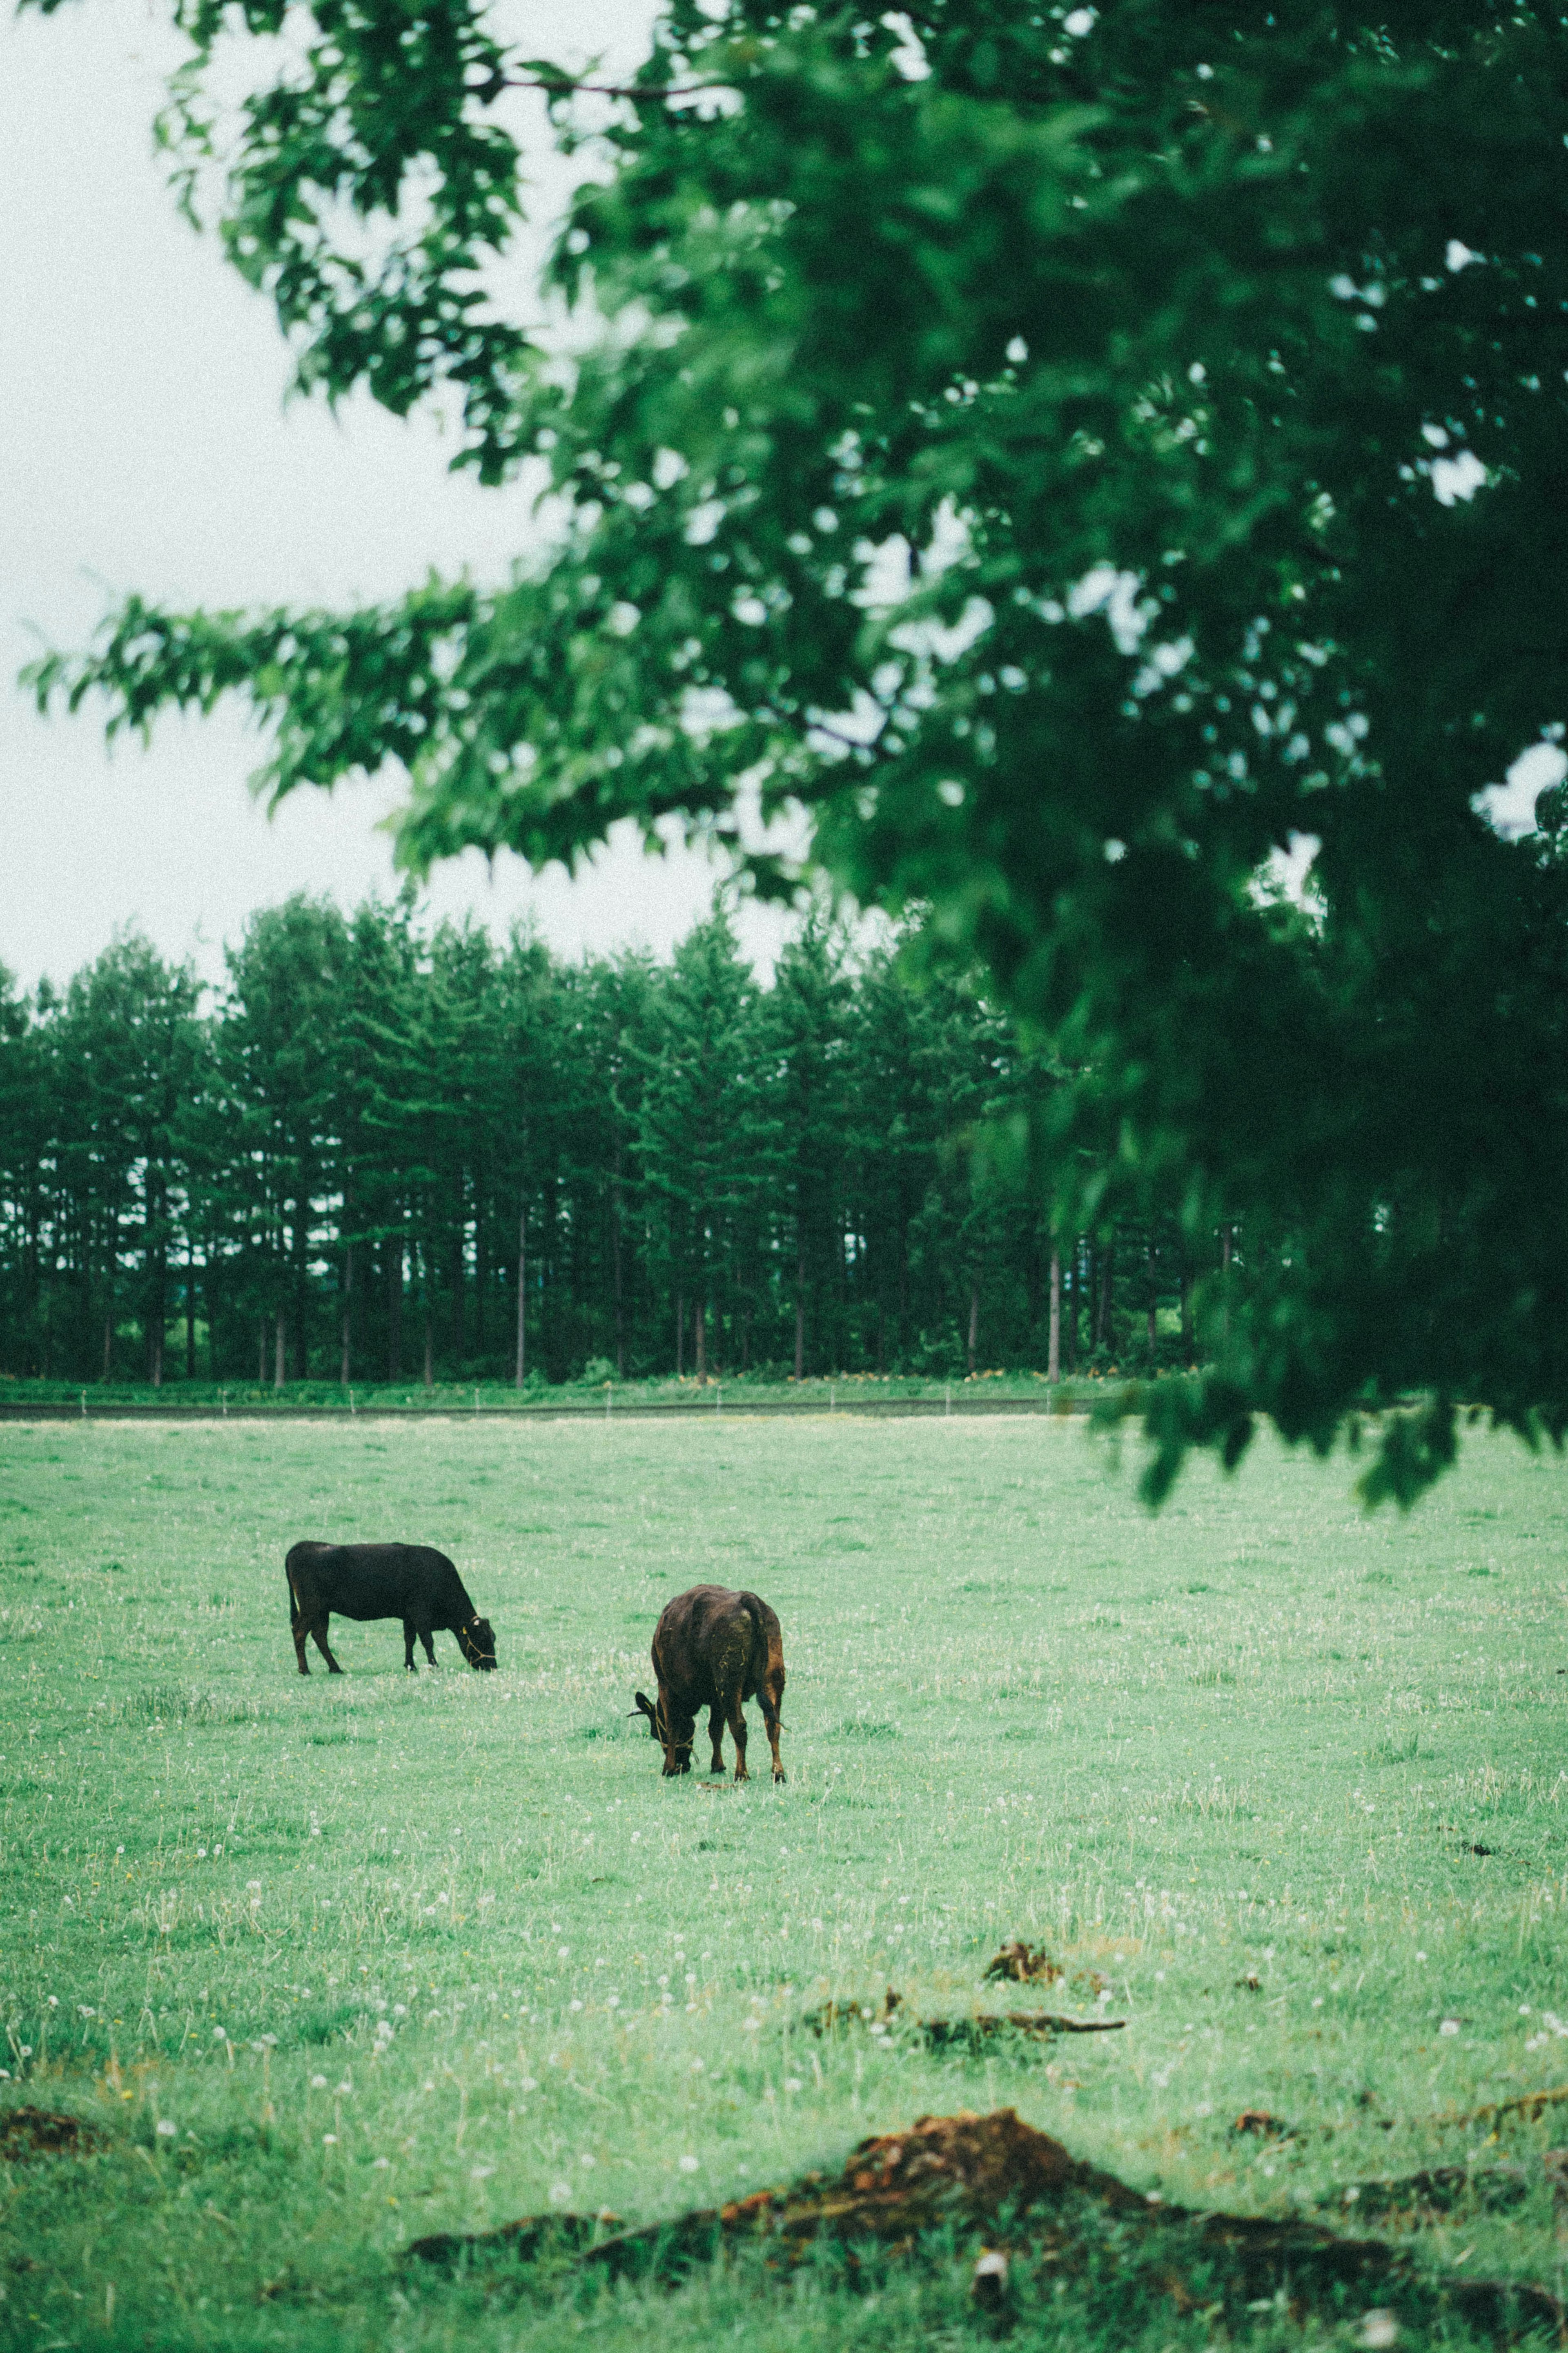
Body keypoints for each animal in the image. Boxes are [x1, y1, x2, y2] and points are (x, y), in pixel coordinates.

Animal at [285, 1543, 496, 1675]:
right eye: (482, 1639)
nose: (493, 1667)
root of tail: (303, 1545)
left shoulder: (409, 1616)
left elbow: (409, 1640)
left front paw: (411, 1666)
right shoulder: (420, 1613)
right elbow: (427, 1641)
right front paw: (434, 1665)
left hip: (322, 1611)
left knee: (319, 1635)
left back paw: (335, 1669)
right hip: (311, 1608)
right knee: (300, 1632)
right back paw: (305, 1670)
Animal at [635, 1581, 785, 1779]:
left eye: (655, 1733)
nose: (683, 1766)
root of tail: (748, 1599)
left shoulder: (666, 1686)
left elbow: (674, 1726)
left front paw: (668, 1768)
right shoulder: (716, 1700)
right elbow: (715, 1730)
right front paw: (718, 1766)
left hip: (729, 1685)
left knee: (739, 1726)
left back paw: (742, 1774)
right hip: (772, 1682)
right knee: (773, 1726)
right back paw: (778, 1773)